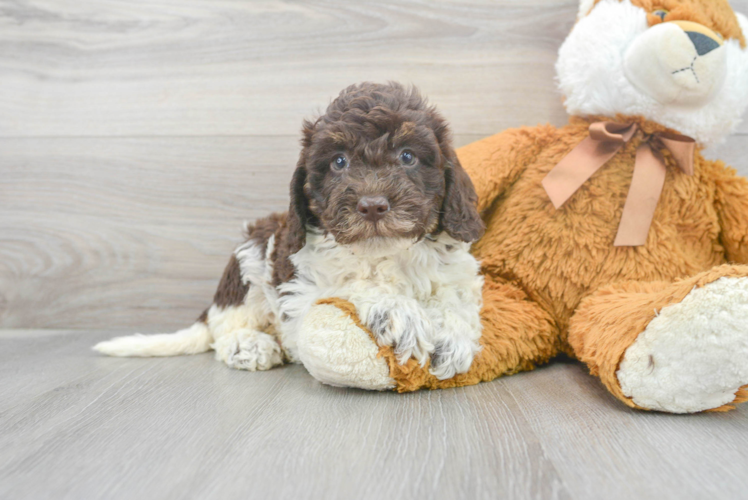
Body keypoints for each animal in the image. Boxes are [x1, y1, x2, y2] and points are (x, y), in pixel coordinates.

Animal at [93, 84, 488, 382]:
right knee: (225, 328)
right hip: (250, 259)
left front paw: (452, 337)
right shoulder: (300, 289)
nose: (373, 205)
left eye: (407, 156)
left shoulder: (455, 270)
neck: (385, 252)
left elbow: (456, 296)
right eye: (339, 162)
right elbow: (351, 287)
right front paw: (398, 311)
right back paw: (249, 345)